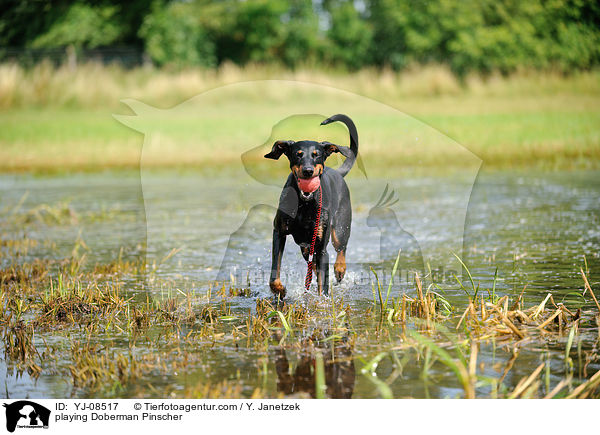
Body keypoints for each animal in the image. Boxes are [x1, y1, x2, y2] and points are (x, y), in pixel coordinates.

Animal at [264, 113, 358, 296]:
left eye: (316, 154)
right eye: (298, 154)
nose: (308, 170)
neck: (304, 204)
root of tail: (338, 172)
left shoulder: (321, 247)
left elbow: (323, 285)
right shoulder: (279, 231)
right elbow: (274, 271)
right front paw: (279, 290)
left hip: (340, 228)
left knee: (340, 249)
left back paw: (340, 269)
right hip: (306, 246)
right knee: (313, 263)